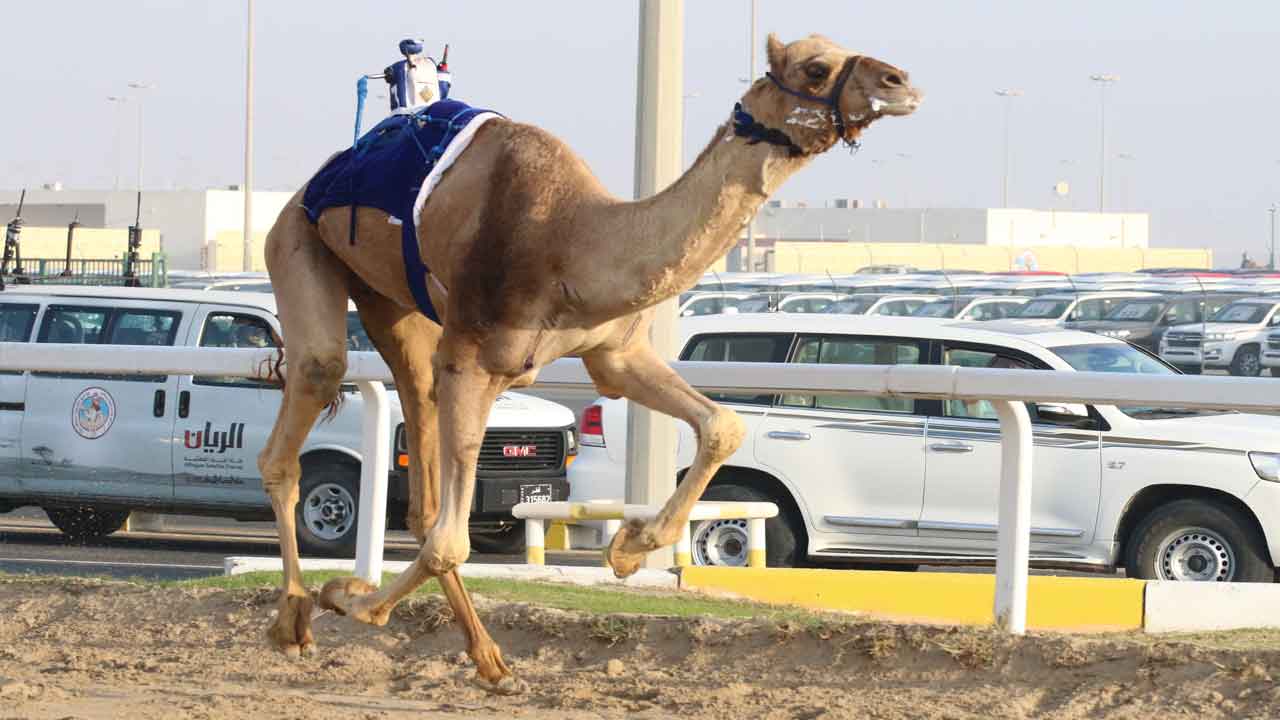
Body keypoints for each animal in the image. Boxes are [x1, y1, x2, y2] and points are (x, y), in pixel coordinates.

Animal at [257, 33, 922, 692]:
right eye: (815, 68)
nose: (901, 83)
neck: (573, 243)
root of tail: (322, 177)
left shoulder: (614, 353)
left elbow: (722, 424)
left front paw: (629, 547)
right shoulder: (473, 360)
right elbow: (450, 540)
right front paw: (347, 597)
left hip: (395, 306)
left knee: (416, 436)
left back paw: (489, 659)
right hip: (296, 240)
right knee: (306, 403)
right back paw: (294, 620)